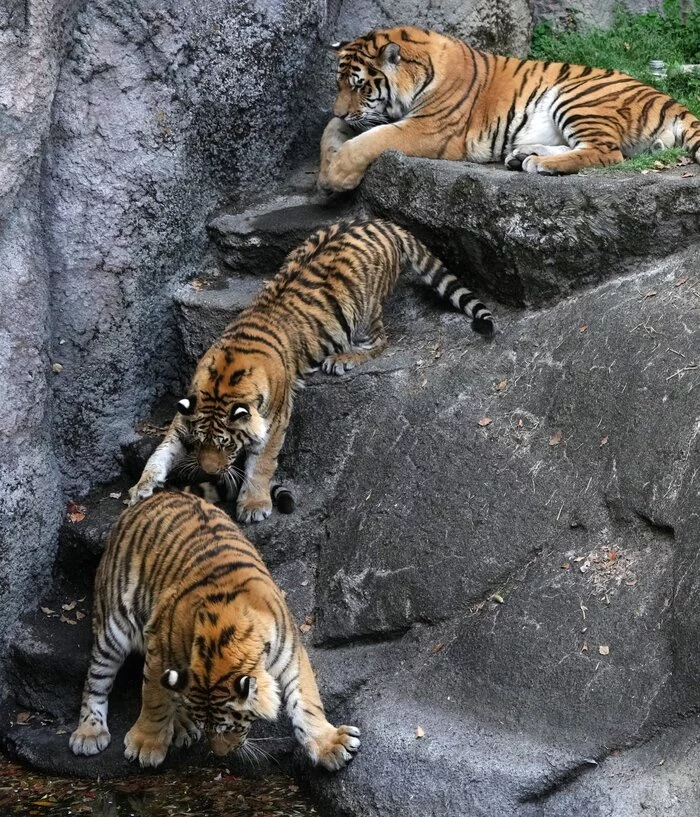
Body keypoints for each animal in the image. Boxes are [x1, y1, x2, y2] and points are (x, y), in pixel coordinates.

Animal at [69, 490, 360, 772]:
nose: (222, 755)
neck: (222, 636)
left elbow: (307, 701)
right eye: (217, 727)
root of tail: (152, 497)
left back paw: (181, 727)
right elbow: (155, 697)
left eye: (230, 726)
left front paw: (331, 745)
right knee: (96, 681)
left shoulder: (290, 651)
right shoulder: (159, 646)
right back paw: (89, 733)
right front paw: (146, 744)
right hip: (113, 625)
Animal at [130, 218, 492, 524]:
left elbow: (261, 464)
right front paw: (142, 486)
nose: (210, 473)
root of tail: (381, 222)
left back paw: (344, 358)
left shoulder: (275, 420)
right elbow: (161, 452)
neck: (225, 375)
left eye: (226, 445)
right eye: (200, 443)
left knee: (380, 341)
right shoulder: (184, 417)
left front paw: (254, 504)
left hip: (364, 311)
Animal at [320, 25, 700, 191]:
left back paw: (539, 164)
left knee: (606, 152)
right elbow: (331, 132)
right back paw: (523, 155)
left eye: (360, 85)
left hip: (576, 96)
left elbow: (370, 141)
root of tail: (665, 97)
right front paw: (326, 169)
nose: (340, 110)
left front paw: (336, 177)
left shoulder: (428, 129)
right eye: (338, 85)